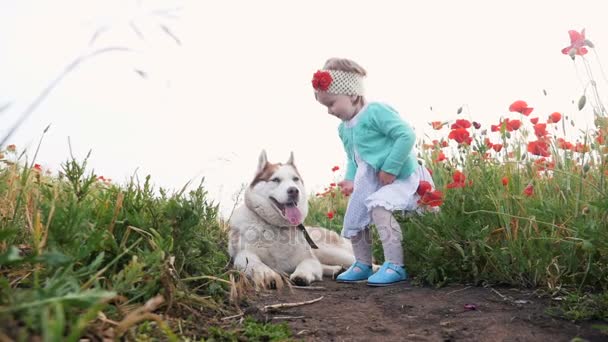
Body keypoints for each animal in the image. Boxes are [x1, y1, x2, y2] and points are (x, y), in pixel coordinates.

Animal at [232, 151, 356, 288]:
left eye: (295, 179)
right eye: (276, 180)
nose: (293, 190)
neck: (278, 228)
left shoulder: (308, 258)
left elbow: (307, 264)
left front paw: (301, 275)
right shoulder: (242, 255)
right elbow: (255, 263)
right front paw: (267, 275)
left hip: (331, 253)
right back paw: (337, 270)